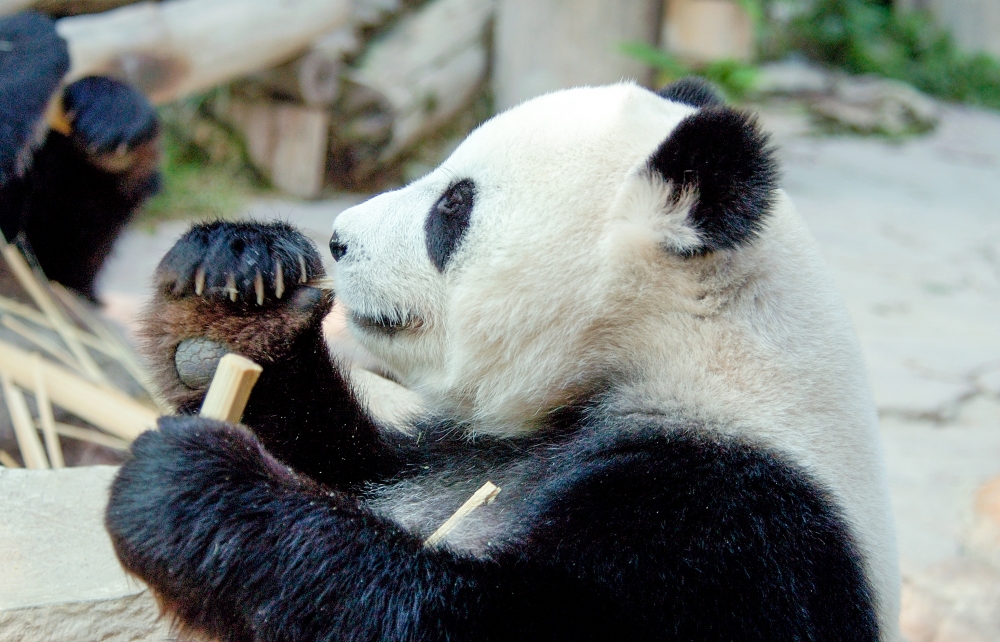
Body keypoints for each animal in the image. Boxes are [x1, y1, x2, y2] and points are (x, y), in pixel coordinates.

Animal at [103, 77, 900, 636]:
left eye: (452, 208)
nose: (337, 238)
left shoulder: (736, 527)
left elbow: (486, 619)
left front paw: (191, 486)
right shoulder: (467, 451)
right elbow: (347, 463)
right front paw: (233, 294)